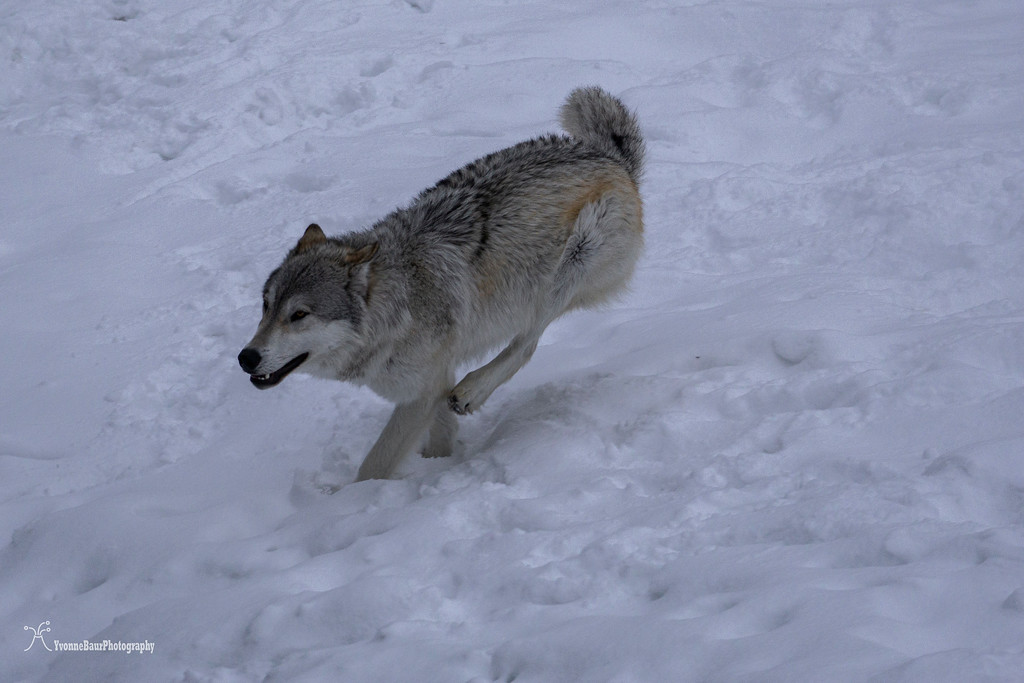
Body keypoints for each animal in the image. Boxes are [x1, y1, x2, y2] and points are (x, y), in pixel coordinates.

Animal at [238, 86, 645, 481]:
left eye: (299, 314)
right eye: (266, 306)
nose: (246, 358)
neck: (400, 305)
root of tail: (609, 156)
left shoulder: (421, 393)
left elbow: (373, 467)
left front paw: (352, 501)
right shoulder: (437, 378)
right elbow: (441, 435)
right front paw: (439, 466)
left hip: (568, 267)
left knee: (526, 345)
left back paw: (472, 391)